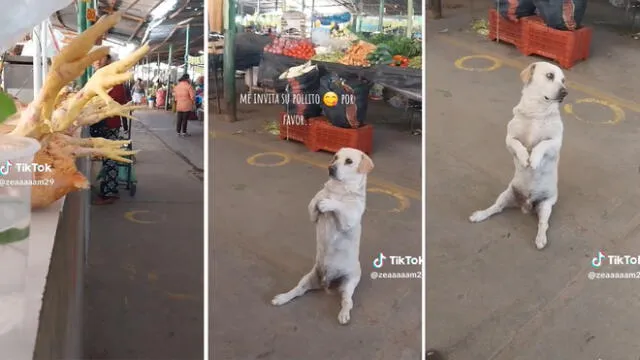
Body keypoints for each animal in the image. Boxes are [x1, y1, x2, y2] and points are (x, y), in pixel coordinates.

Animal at [272, 148, 376, 324]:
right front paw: (321, 197)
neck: (339, 190)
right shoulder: (313, 215)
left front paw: (329, 202)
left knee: (347, 301)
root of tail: (327, 282)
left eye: (349, 161)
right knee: (297, 291)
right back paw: (282, 298)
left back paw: (344, 314)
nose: (330, 168)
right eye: (335, 157)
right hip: (308, 277)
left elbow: (339, 205)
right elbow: (316, 200)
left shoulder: (348, 218)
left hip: (348, 283)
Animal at [468, 62, 568, 250]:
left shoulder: (555, 143)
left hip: (546, 205)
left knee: (543, 224)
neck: (537, 112)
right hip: (507, 194)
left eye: (563, 80)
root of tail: (525, 205)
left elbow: (542, 144)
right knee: (496, 208)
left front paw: (534, 159)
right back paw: (480, 215)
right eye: (550, 76)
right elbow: (518, 144)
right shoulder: (509, 138)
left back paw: (540, 239)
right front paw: (524, 158)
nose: (565, 92)